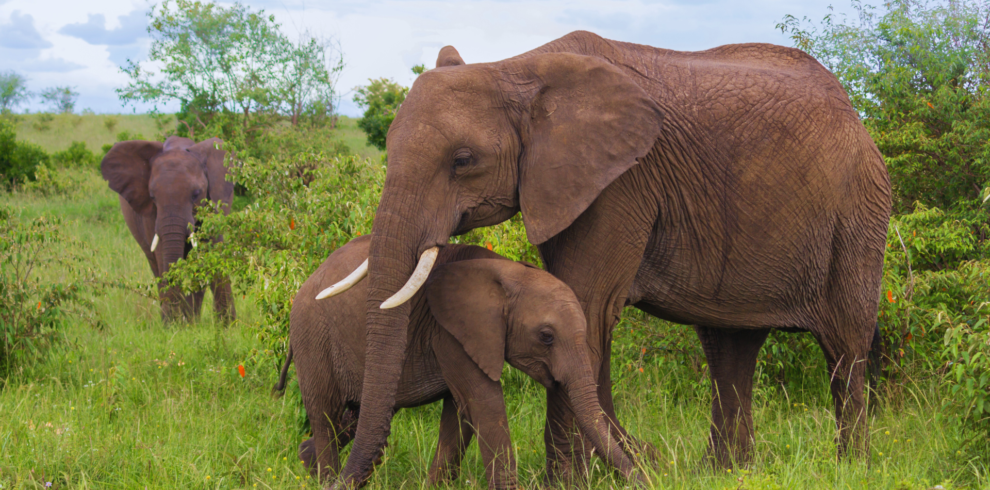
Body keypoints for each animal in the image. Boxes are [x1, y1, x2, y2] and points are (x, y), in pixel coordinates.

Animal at [101, 136, 236, 323]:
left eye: (196, 194)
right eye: (152, 196)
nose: (174, 321)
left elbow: (212, 252)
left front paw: (228, 326)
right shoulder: (151, 215)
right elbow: (162, 255)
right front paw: (174, 325)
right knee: (155, 266)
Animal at [274, 235, 641, 488]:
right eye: (546, 336)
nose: (644, 478)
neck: (509, 272)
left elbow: (460, 413)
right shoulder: (449, 331)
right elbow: (483, 402)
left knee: (352, 419)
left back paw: (305, 463)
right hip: (312, 339)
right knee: (326, 416)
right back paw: (323, 476)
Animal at [322, 30, 892, 485]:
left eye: (463, 161)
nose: (342, 479)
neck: (515, 69)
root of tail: (855, 113)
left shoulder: (621, 182)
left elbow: (587, 304)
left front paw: (567, 482)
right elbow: (582, 312)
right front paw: (625, 466)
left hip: (858, 211)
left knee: (845, 344)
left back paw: (851, 467)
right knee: (729, 346)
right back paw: (726, 471)